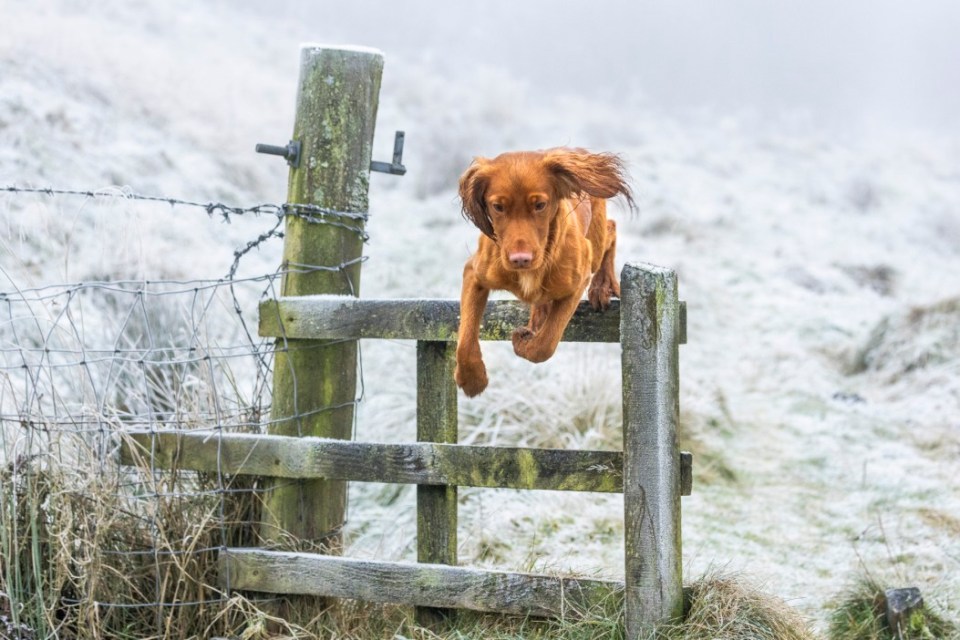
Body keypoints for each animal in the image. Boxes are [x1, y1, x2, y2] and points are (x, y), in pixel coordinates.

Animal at [454, 148, 632, 396]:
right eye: (498, 207)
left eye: (540, 205)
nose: (520, 259)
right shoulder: (474, 273)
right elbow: (466, 337)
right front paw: (472, 379)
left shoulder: (576, 284)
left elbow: (545, 344)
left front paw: (523, 342)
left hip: (594, 248)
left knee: (611, 227)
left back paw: (601, 286)